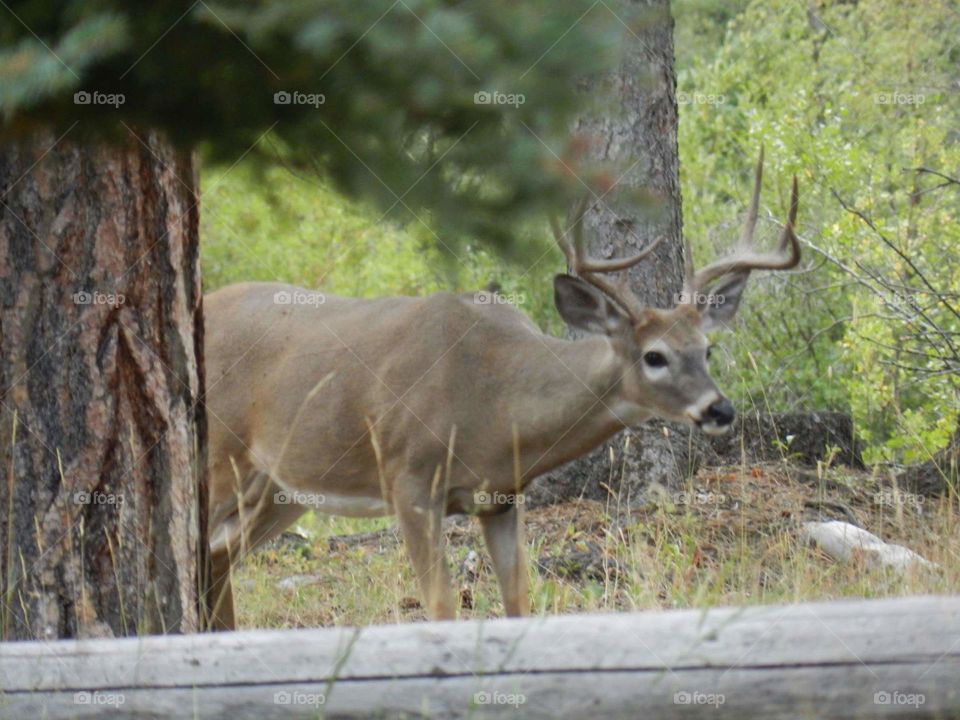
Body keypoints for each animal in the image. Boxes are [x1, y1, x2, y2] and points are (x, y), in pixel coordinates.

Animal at [203, 150, 800, 629]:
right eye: (654, 356)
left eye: (707, 349)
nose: (719, 409)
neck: (495, 402)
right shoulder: (408, 477)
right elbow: (441, 606)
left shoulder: (502, 496)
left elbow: (518, 603)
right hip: (219, 456)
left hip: (280, 488)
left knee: (218, 556)